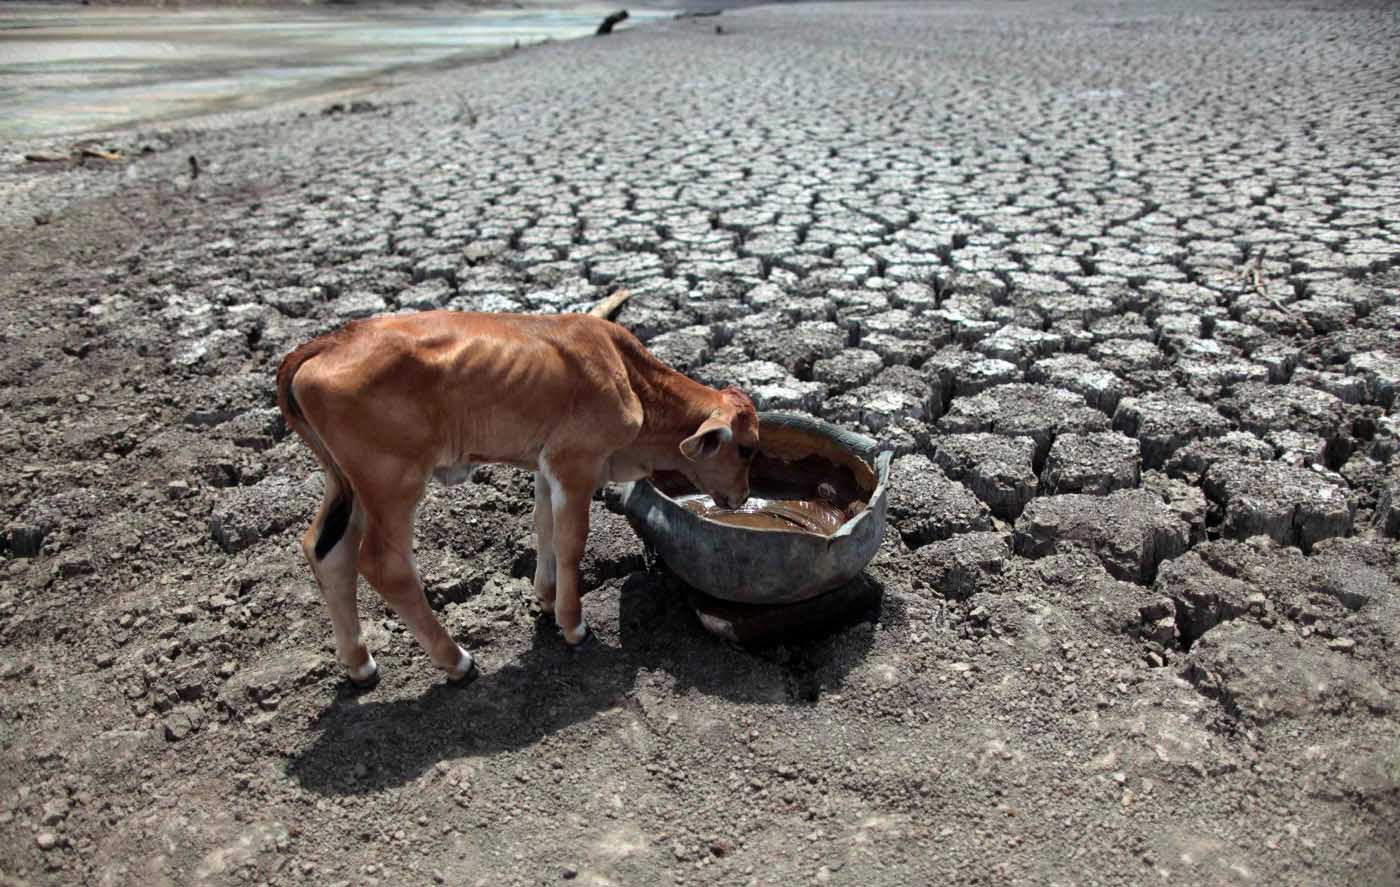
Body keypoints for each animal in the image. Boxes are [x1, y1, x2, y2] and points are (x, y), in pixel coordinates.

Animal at [277, 310, 761, 682]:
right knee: (385, 566)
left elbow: (543, 528)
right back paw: (456, 661)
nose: (742, 496)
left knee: (325, 551)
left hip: (348, 486)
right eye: (748, 448)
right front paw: (573, 623)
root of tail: (331, 340)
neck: (629, 375)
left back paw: (359, 664)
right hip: (392, 483)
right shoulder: (576, 463)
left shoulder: (547, 465)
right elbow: (571, 543)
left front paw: (545, 598)